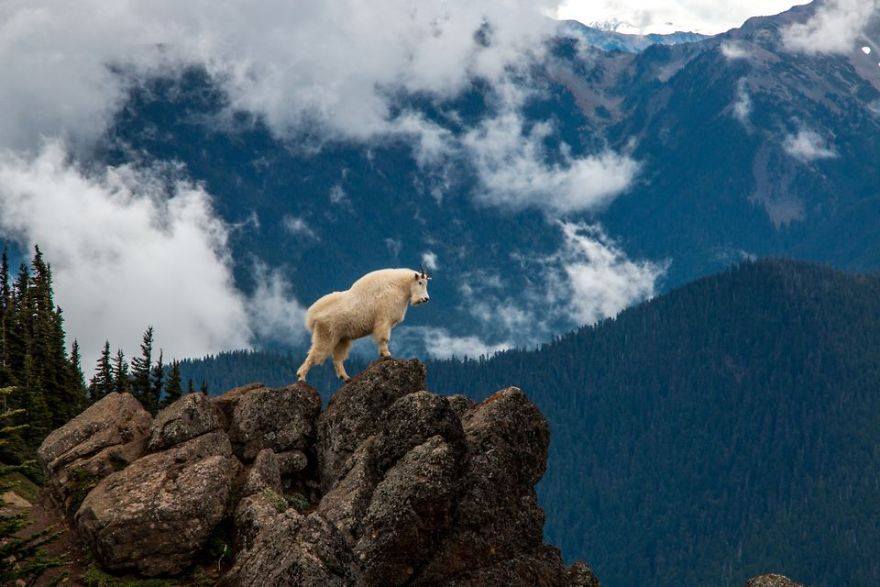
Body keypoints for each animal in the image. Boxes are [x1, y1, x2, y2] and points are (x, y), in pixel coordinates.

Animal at [298, 268, 432, 384]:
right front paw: (387, 354)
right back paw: (301, 377)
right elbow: (384, 338)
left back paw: (346, 377)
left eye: (426, 283)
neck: (399, 286)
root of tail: (313, 315)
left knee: (337, 358)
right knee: (315, 353)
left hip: (341, 338)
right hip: (326, 334)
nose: (425, 299)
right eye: (420, 282)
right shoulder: (384, 319)